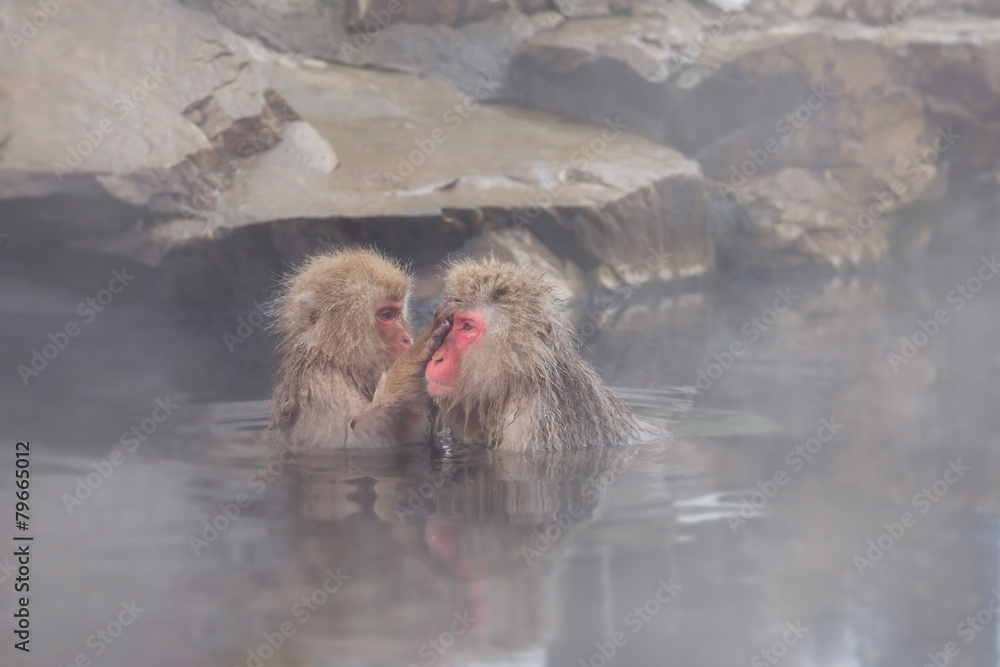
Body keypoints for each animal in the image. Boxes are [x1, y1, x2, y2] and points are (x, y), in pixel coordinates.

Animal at [269, 248, 451, 447]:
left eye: (397, 313)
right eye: (386, 315)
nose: (407, 339)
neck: (336, 361)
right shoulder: (321, 385)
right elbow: (355, 442)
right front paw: (419, 353)